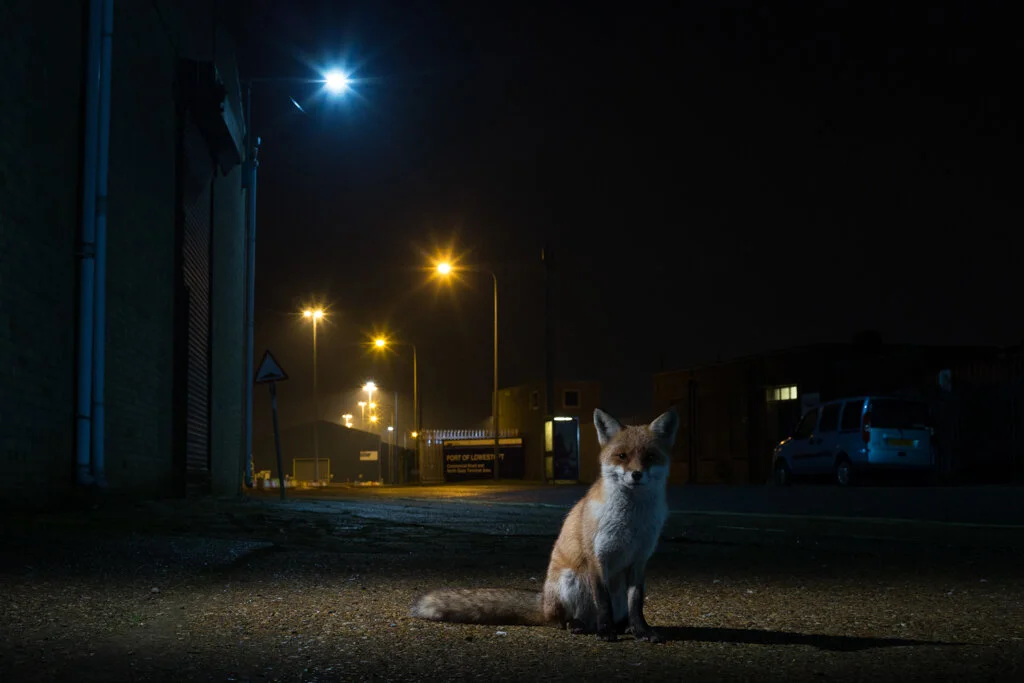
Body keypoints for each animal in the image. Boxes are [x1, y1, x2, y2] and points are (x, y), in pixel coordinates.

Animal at [409, 407, 679, 642]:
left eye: (650, 457)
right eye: (621, 456)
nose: (636, 475)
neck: (631, 521)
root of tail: (543, 603)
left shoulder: (640, 560)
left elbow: (637, 603)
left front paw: (641, 631)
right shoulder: (597, 556)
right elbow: (602, 602)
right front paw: (606, 632)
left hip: (614, 589)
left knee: (616, 614)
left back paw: (622, 627)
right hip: (572, 580)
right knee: (564, 620)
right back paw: (581, 626)